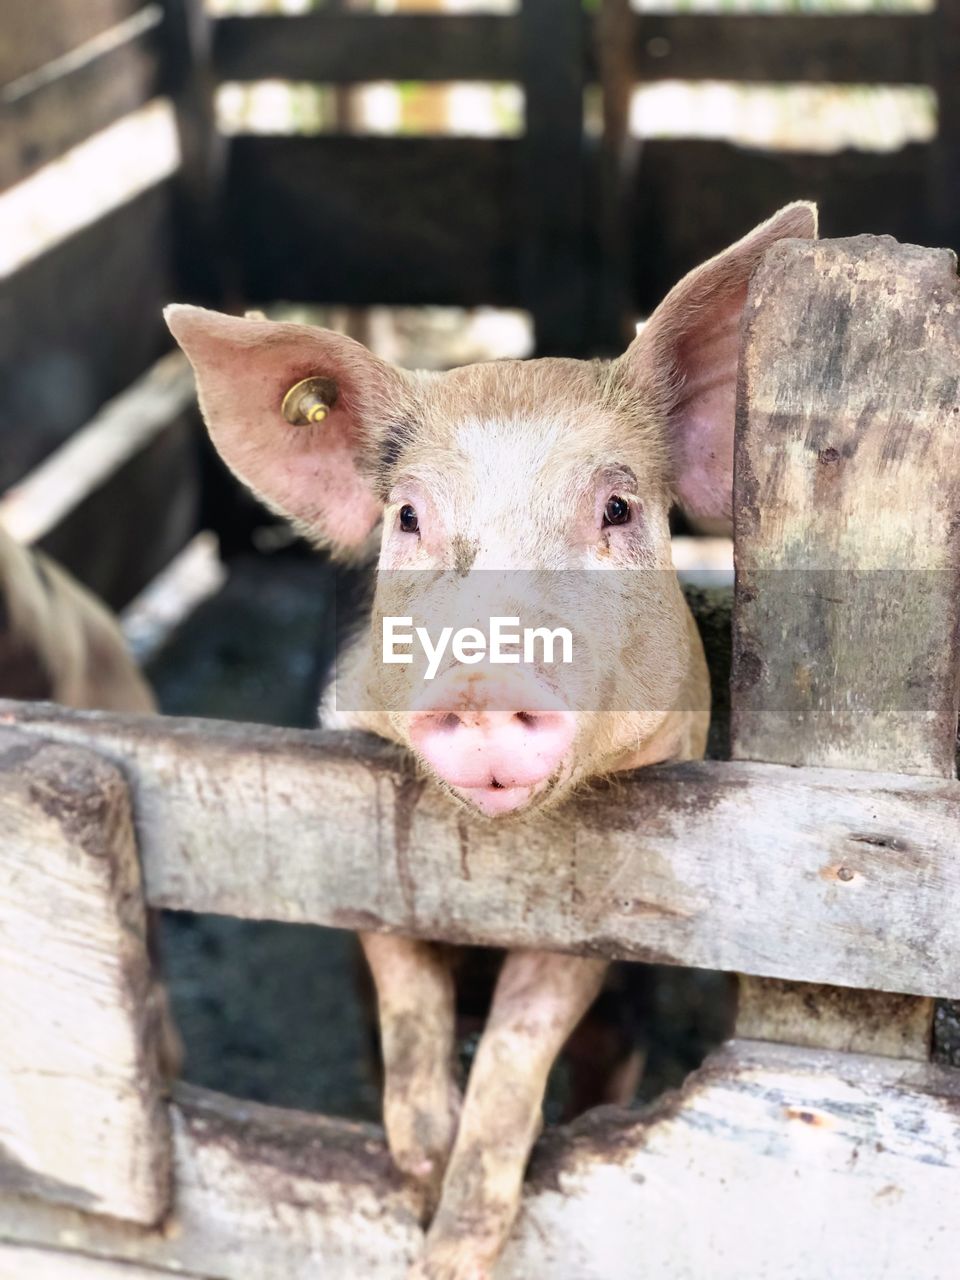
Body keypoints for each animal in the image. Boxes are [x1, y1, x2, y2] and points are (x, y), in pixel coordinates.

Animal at [167, 202, 819, 1280]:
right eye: (408, 515)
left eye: (617, 508)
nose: (483, 678)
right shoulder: (339, 809)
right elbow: (401, 971)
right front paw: (417, 1164)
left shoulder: (605, 907)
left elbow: (526, 1027)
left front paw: (455, 1249)